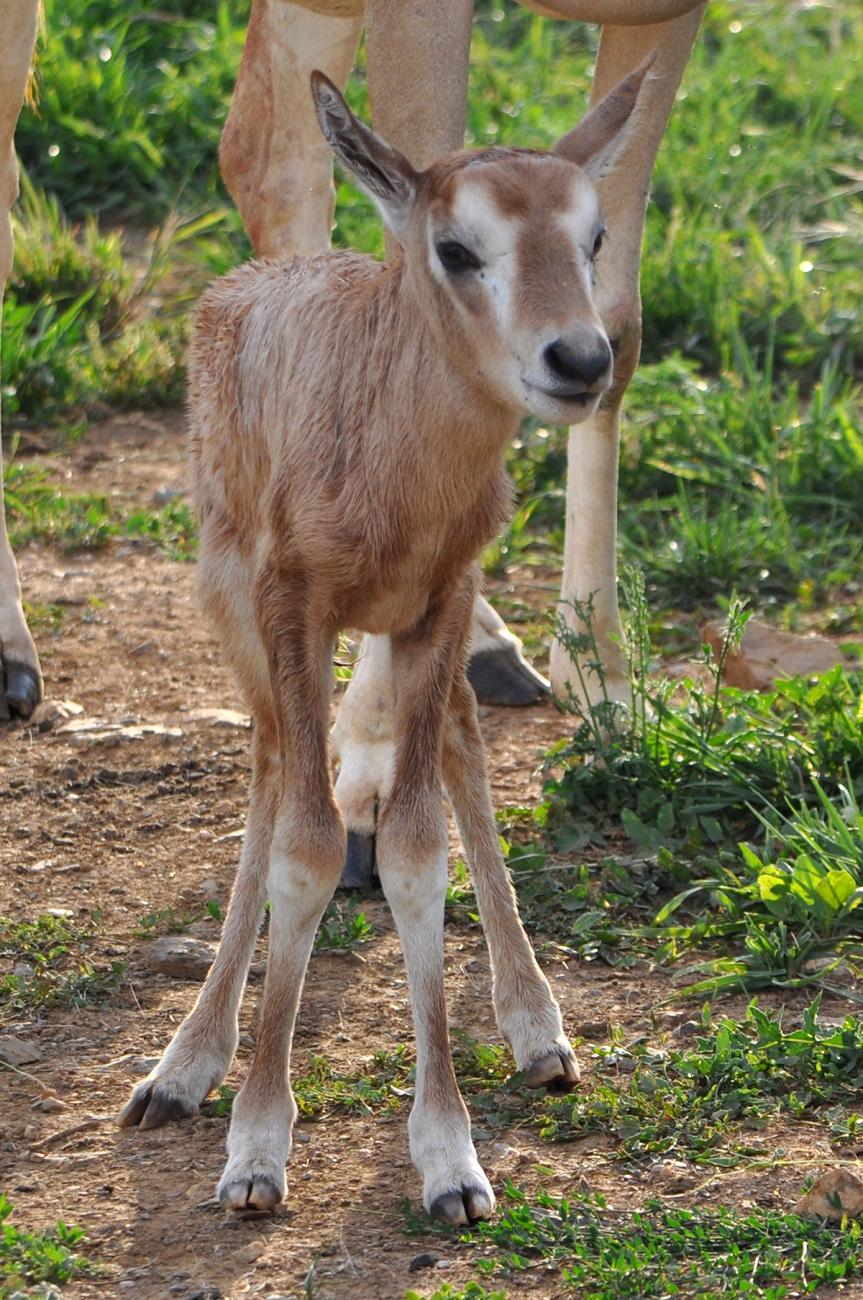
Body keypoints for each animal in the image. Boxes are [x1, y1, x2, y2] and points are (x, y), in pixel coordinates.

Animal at [119, 58, 647, 1216]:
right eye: (456, 248)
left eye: (592, 236)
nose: (578, 357)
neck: (394, 461)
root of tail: (234, 290)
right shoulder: (291, 605)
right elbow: (308, 844)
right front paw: (255, 1149)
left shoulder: (442, 599)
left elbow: (411, 845)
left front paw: (450, 1158)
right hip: (235, 607)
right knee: (272, 769)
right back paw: (183, 1065)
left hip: (413, 641)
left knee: (456, 738)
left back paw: (536, 1027)